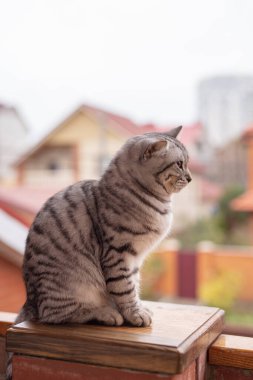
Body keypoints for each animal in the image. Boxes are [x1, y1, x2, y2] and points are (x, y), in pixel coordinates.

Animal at [6, 128, 190, 380]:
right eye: (180, 164)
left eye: (187, 163)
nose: (190, 177)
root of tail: (30, 300)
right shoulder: (119, 253)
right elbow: (125, 288)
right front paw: (134, 314)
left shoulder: (135, 260)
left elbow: (133, 285)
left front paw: (137, 307)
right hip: (72, 284)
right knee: (56, 315)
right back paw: (106, 313)